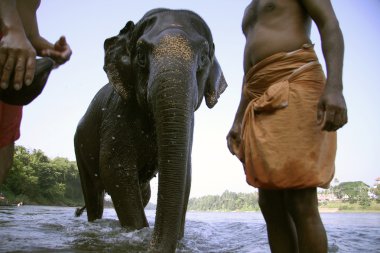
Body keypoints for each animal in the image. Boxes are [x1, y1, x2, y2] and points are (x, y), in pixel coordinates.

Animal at [75, 8, 226, 252]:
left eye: (204, 58)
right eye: (141, 56)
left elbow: (185, 174)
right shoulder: (118, 111)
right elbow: (115, 168)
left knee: (143, 192)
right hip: (79, 147)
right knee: (94, 195)